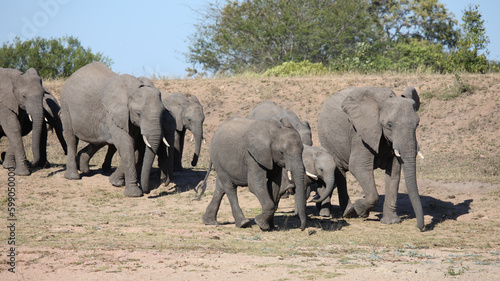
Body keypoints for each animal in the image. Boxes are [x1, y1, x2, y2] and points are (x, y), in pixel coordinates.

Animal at [61, 62, 164, 196]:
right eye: (138, 113)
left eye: (162, 112)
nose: (148, 191)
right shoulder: (113, 112)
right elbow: (127, 145)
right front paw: (133, 194)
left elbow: (133, 145)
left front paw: (115, 182)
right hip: (66, 106)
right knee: (72, 139)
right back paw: (73, 176)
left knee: (98, 141)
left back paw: (84, 167)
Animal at [318, 86, 424, 230]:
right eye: (389, 125)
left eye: (417, 124)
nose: (420, 228)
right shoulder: (360, 133)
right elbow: (358, 167)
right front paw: (360, 210)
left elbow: (394, 172)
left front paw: (391, 222)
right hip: (326, 138)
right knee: (339, 170)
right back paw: (348, 212)